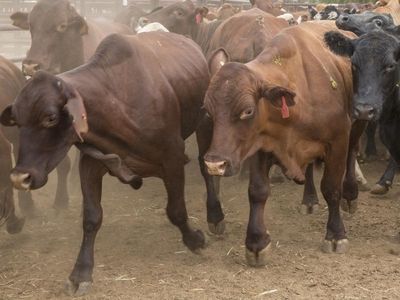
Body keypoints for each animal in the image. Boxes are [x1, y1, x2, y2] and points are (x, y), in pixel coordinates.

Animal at [0, 32, 216, 296]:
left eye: (50, 117)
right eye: (17, 120)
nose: (20, 177)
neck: (117, 104)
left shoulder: (173, 157)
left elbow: (176, 210)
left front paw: (194, 240)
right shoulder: (91, 163)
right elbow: (91, 218)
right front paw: (80, 273)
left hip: (204, 122)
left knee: (206, 169)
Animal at [205, 21, 360, 266]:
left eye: (247, 110)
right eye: (208, 111)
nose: (214, 164)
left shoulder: (338, 141)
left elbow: (331, 188)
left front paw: (336, 234)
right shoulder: (260, 146)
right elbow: (257, 191)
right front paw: (257, 242)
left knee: (353, 153)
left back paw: (351, 194)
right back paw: (309, 199)